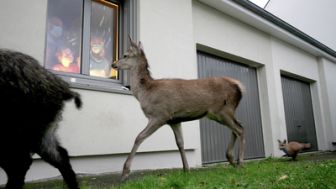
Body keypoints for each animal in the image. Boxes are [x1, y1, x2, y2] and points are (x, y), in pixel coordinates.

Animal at [111, 36, 245, 180]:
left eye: (125, 55)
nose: (113, 64)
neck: (146, 93)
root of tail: (239, 87)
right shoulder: (175, 120)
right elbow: (180, 143)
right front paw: (186, 169)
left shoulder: (160, 114)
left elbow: (139, 137)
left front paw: (125, 172)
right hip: (221, 112)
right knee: (236, 127)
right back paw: (231, 159)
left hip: (223, 110)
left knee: (239, 128)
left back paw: (240, 162)